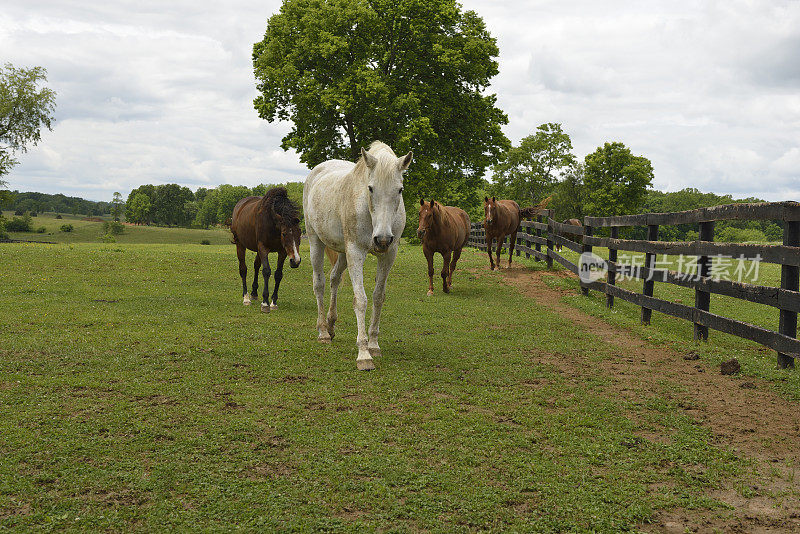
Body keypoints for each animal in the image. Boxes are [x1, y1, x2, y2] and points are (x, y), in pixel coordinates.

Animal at [302, 140, 412, 370]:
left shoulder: (388, 255)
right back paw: (323, 332)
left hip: (344, 254)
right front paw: (363, 354)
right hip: (316, 241)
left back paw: (331, 325)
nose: (382, 239)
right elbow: (360, 300)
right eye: (370, 188)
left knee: (334, 279)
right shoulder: (356, 252)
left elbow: (378, 297)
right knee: (320, 284)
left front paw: (374, 345)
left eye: (400, 189)